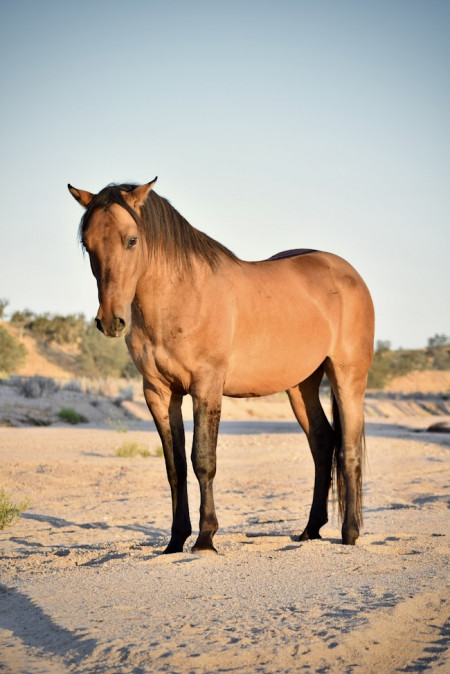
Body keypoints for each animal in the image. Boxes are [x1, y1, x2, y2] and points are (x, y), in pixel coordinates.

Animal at [68, 177, 374, 552]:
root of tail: (348, 274)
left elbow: (203, 460)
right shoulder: (158, 392)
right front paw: (175, 541)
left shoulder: (207, 387)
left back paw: (350, 533)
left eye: (132, 240)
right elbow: (175, 467)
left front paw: (205, 538)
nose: (112, 321)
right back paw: (310, 530)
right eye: (88, 244)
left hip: (348, 378)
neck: (181, 296)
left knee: (347, 449)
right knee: (322, 443)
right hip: (301, 385)